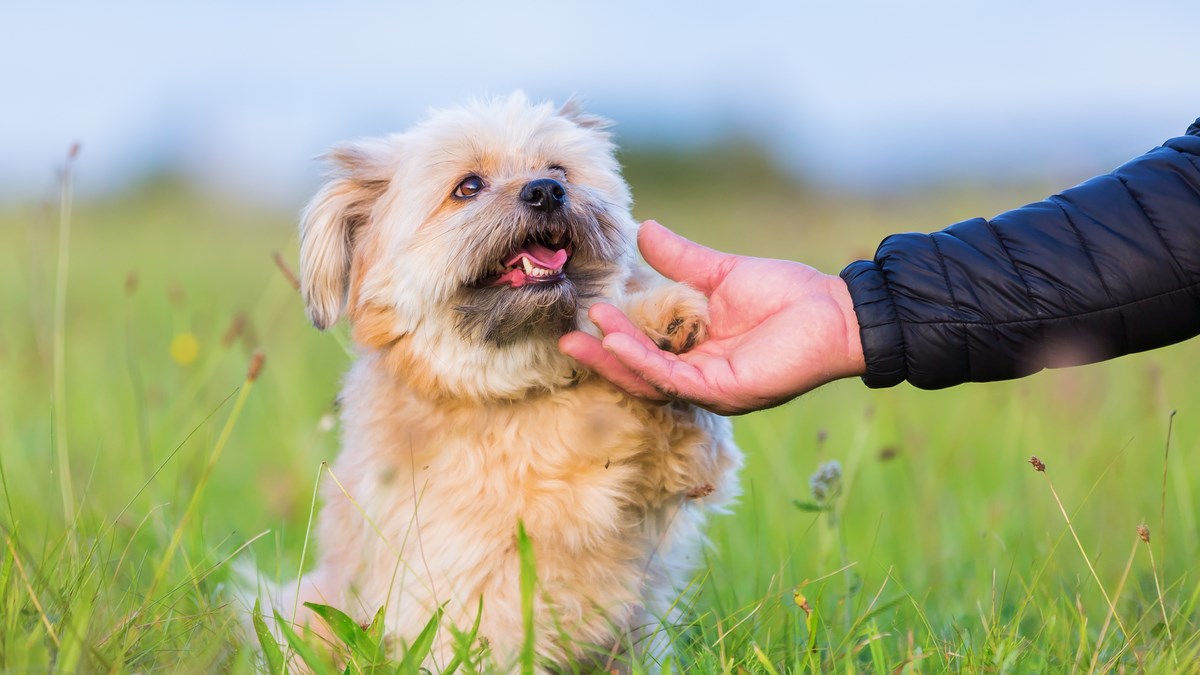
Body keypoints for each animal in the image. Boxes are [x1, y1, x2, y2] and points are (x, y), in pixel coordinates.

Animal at [266, 91, 739, 667]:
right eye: (468, 187)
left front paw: (657, 319)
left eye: (558, 169)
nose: (547, 190)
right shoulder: (458, 581)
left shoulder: (687, 466)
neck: (519, 386)